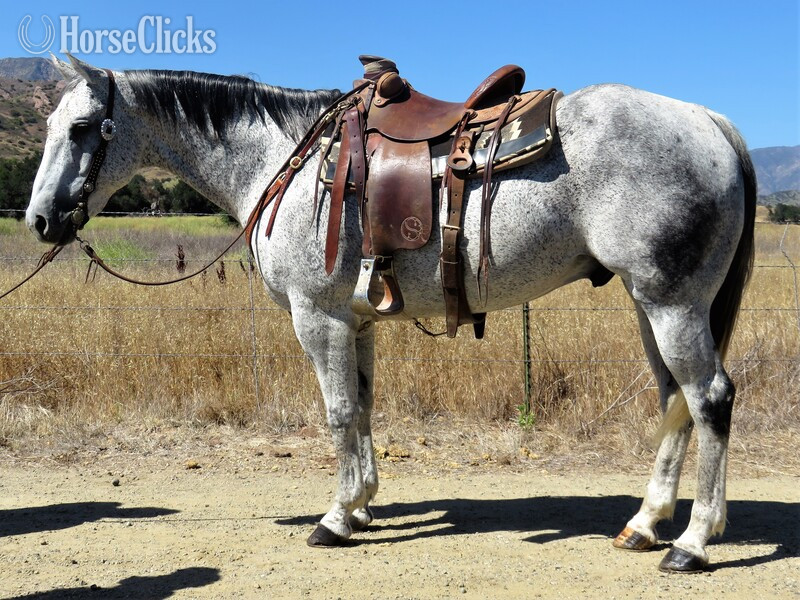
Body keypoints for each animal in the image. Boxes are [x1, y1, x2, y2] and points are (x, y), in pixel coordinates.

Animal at [26, 54, 755, 573]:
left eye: (82, 129)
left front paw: (335, 517)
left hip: (671, 302)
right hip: (649, 302)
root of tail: (708, 120)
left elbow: (338, 413)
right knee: (674, 400)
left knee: (710, 398)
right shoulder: (358, 323)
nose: (39, 221)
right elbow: (365, 409)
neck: (283, 159)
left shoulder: (317, 319)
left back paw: (691, 543)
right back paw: (645, 524)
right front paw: (362, 507)